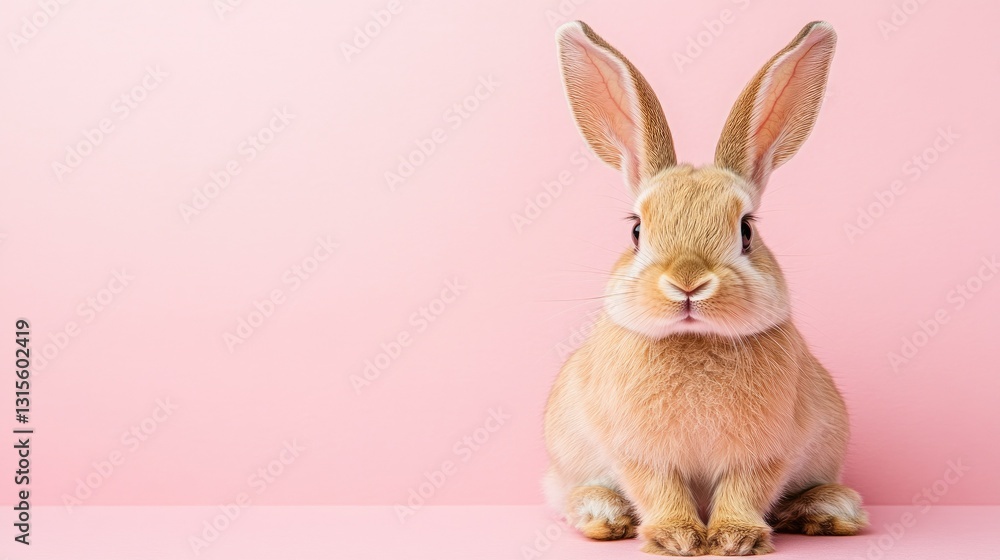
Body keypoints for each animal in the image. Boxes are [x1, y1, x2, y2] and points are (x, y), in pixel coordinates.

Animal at [543, 20, 868, 556]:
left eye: (746, 231)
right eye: (636, 231)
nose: (688, 282)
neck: (694, 340)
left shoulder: (765, 451)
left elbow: (745, 488)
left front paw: (735, 538)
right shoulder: (640, 453)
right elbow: (659, 488)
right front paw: (676, 537)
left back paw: (827, 511)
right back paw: (604, 516)